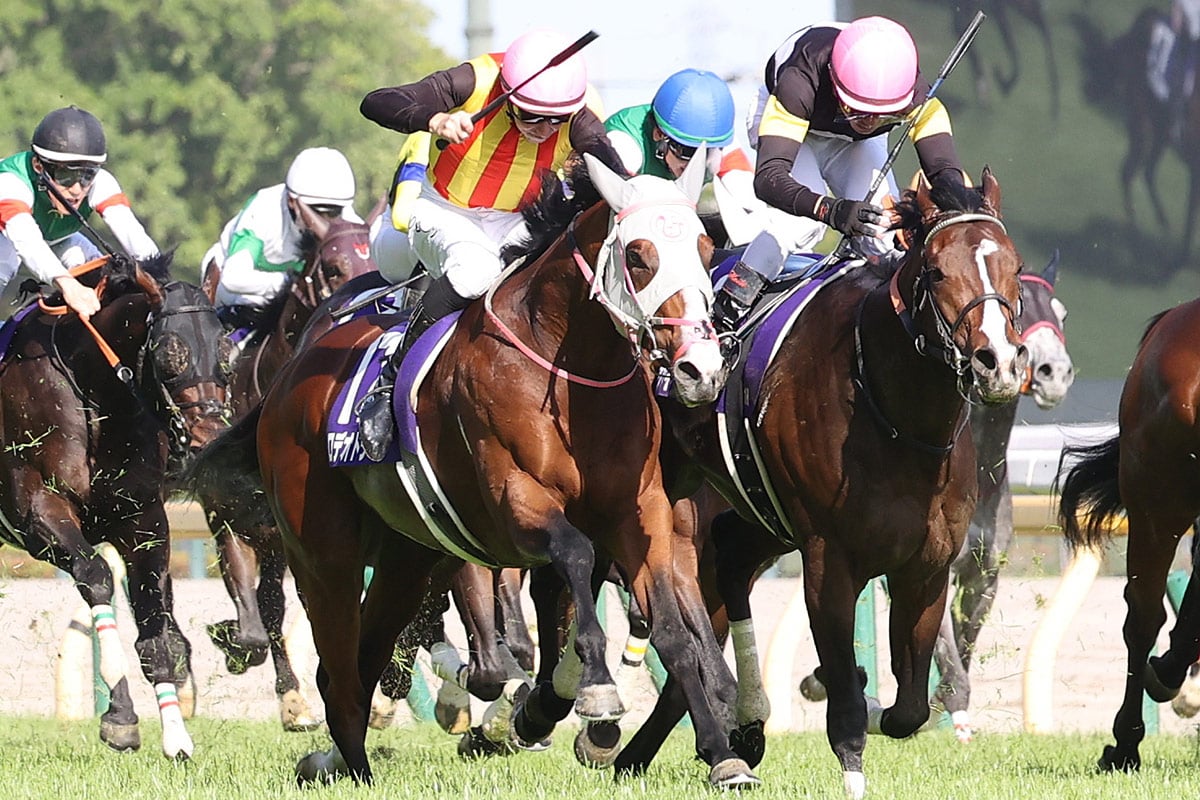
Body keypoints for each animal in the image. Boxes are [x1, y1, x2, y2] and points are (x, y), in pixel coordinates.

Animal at [0, 252, 230, 759]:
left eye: (225, 349)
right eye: (169, 354)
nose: (209, 438)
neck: (93, 397)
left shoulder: (142, 520)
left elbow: (154, 624)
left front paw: (175, 734)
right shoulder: (36, 512)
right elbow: (96, 578)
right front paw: (120, 717)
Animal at [612, 168, 1027, 799]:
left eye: (1013, 264)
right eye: (936, 271)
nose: (998, 363)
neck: (896, 416)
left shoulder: (928, 567)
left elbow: (908, 709)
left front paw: (849, 688)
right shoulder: (829, 561)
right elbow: (851, 707)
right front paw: (845, 739)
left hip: (757, 517)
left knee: (729, 569)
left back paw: (699, 740)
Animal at [1076, 7, 1200, 266]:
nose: (1087, 88)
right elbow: (1191, 218)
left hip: (1158, 129)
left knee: (1145, 170)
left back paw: (1159, 225)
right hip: (1143, 123)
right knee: (1130, 171)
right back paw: (1137, 235)